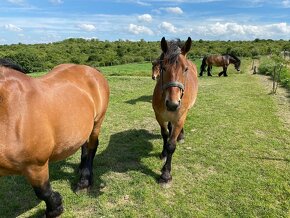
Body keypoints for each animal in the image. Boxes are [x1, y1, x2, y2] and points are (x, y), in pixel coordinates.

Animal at [0, 58, 109, 217]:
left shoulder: (36, 166)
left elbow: (43, 192)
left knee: (92, 147)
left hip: (97, 121)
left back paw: (84, 181)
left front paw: (55, 208)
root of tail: (91, 70)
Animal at [153, 37, 198, 184]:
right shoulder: (159, 116)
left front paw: (166, 174)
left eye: (185, 69)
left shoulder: (179, 117)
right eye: (163, 68)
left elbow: (171, 145)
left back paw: (181, 136)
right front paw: (163, 154)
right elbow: (165, 135)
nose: (173, 104)